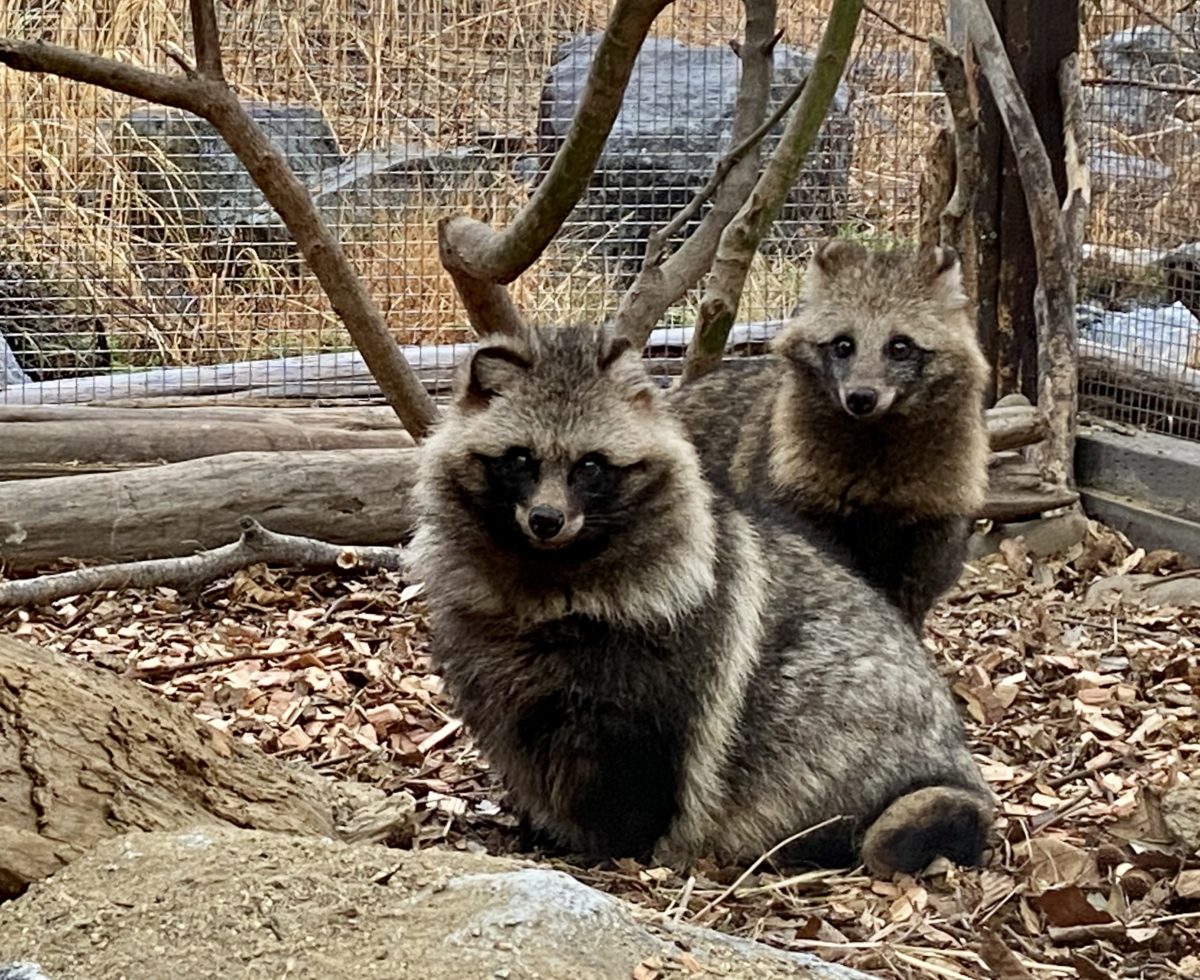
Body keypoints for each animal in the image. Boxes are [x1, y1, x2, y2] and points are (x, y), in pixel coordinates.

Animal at [405, 323, 993, 878]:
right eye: (520, 459)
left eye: (590, 467)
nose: (546, 520)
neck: (549, 574)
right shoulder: (491, 654)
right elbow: (516, 727)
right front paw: (539, 824)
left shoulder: (670, 653)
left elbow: (638, 769)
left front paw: (613, 847)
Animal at [672, 237, 988, 628]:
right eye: (843, 345)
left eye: (900, 346)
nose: (861, 397)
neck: (877, 437)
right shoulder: (795, 496)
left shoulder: (933, 520)